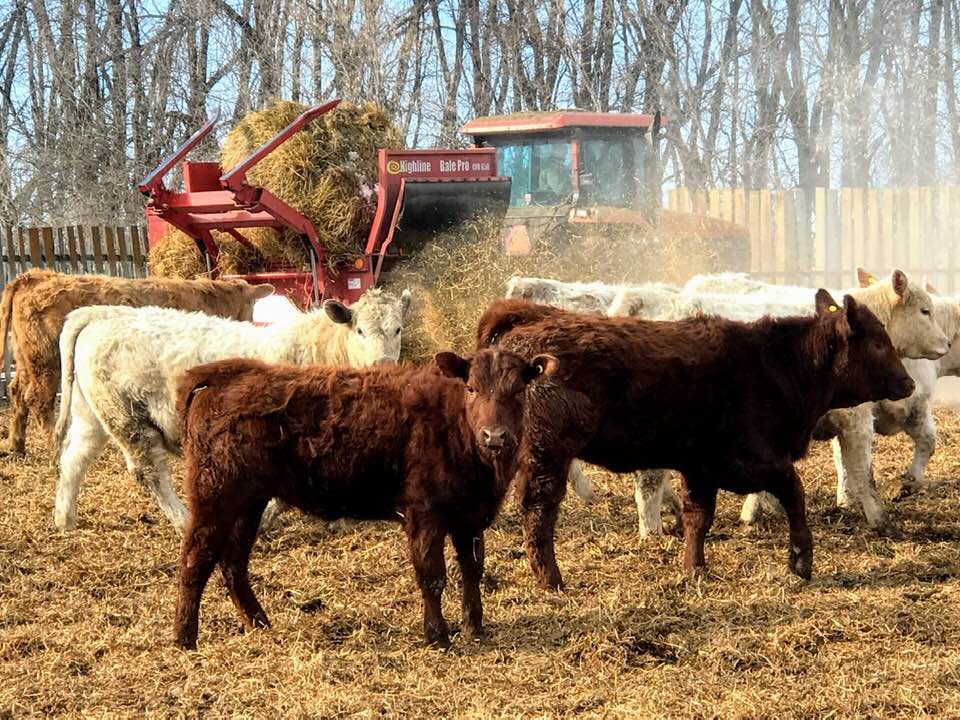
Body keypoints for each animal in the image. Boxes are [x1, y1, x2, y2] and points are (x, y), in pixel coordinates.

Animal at [0, 269, 274, 458]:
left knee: (17, 392)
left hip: (26, 361)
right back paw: (55, 449)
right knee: (38, 399)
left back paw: (16, 445)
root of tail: (35, 277)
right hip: (46, 363)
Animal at [53, 288, 411, 532]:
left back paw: (64, 518)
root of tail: (105, 314)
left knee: (74, 458)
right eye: (360, 330)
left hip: (92, 415)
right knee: (149, 472)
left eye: (397, 329)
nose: (384, 365)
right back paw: (183, 519)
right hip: (128, 418)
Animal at [173, 349, 558, 650]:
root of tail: (219, 375)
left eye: (518, 390)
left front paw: (474, 627)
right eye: (472, 388)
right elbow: (433, 576)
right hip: (214, 499)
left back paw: (259, 623)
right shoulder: (425, 514)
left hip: (249, 503)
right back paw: (184, 638)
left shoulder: (470, 517)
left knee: (233, 563)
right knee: (196, 560)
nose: (495, 436)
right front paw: (438, 636)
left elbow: (472, 571)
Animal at [477, 293, 915, 589]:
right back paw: (551, 579)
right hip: (547, 454)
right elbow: (794, 493)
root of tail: (529, 325)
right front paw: (801, 560)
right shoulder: (755, 461)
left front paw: (695, 568)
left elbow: (698, 518)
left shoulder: (701, 468)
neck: (778, 364)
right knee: (539, 510)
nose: (909, 382)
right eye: (878, 343)